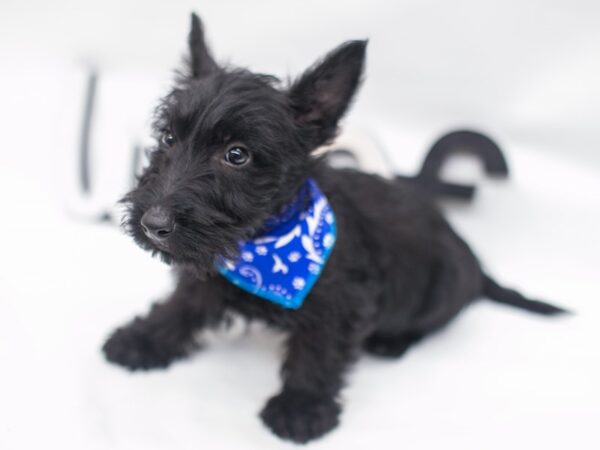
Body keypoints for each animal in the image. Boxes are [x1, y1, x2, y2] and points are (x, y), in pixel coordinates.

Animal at [103, 13, 568, 442]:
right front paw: (142, 339)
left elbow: (317, 353)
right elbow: (180, 306)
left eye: (237, 155)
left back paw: (391, 342)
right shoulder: (208, 275)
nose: (153, 224)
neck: (260, 244)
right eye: (168, 138)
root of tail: (476, 266)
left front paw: (301, 408)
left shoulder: (342, 303)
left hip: (439, 287)